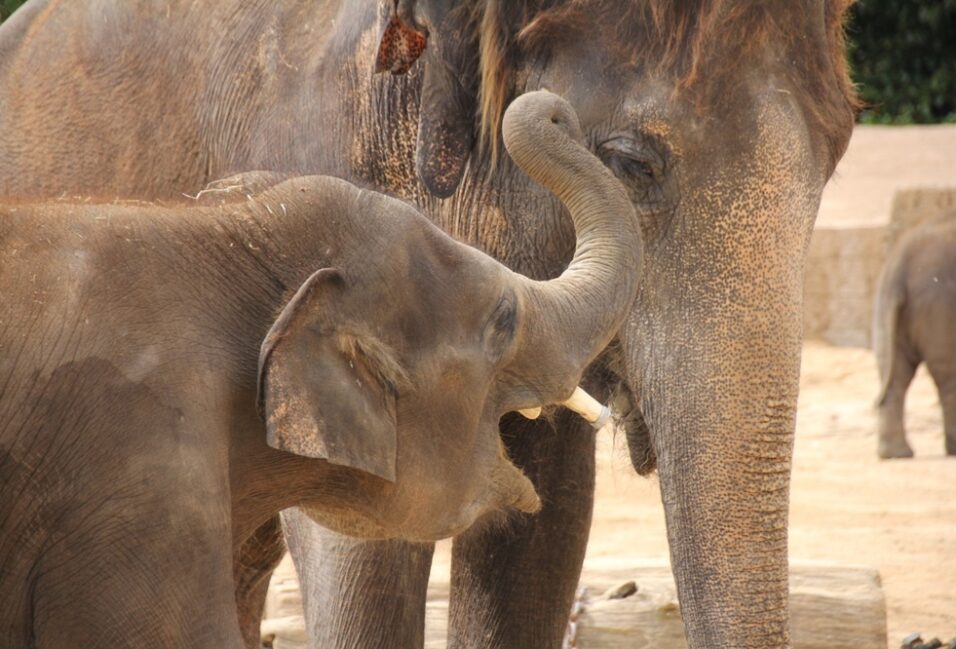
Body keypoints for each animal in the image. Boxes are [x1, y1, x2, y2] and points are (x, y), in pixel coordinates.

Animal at [872, 211, 956, 456]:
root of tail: (900, 265)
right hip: (940, 306)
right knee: (948, 376)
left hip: (889, 308)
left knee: (895, 372)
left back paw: (895, 454)